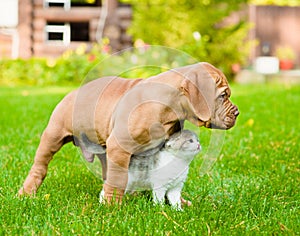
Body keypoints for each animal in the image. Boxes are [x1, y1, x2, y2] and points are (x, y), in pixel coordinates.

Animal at [18, 62, 239, 203]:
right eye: (223, 95)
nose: (237, 112)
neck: (168, 106)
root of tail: (71, 92)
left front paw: (180, 202)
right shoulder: (120, 146)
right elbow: (119, 179)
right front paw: (111, 207)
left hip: (105, 148)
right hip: (53, 135)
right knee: (40, 166)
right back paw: (26, 192)